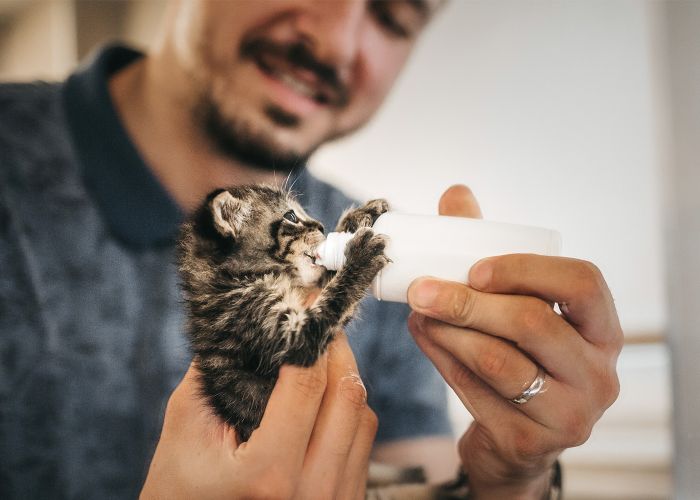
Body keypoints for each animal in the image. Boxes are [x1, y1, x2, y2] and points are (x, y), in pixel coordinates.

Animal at [178, 186, 392, 440]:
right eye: (291, 216)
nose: (321, 225)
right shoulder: (263, 322)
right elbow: (333, 302)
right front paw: (361, 257)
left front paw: (359, 217)